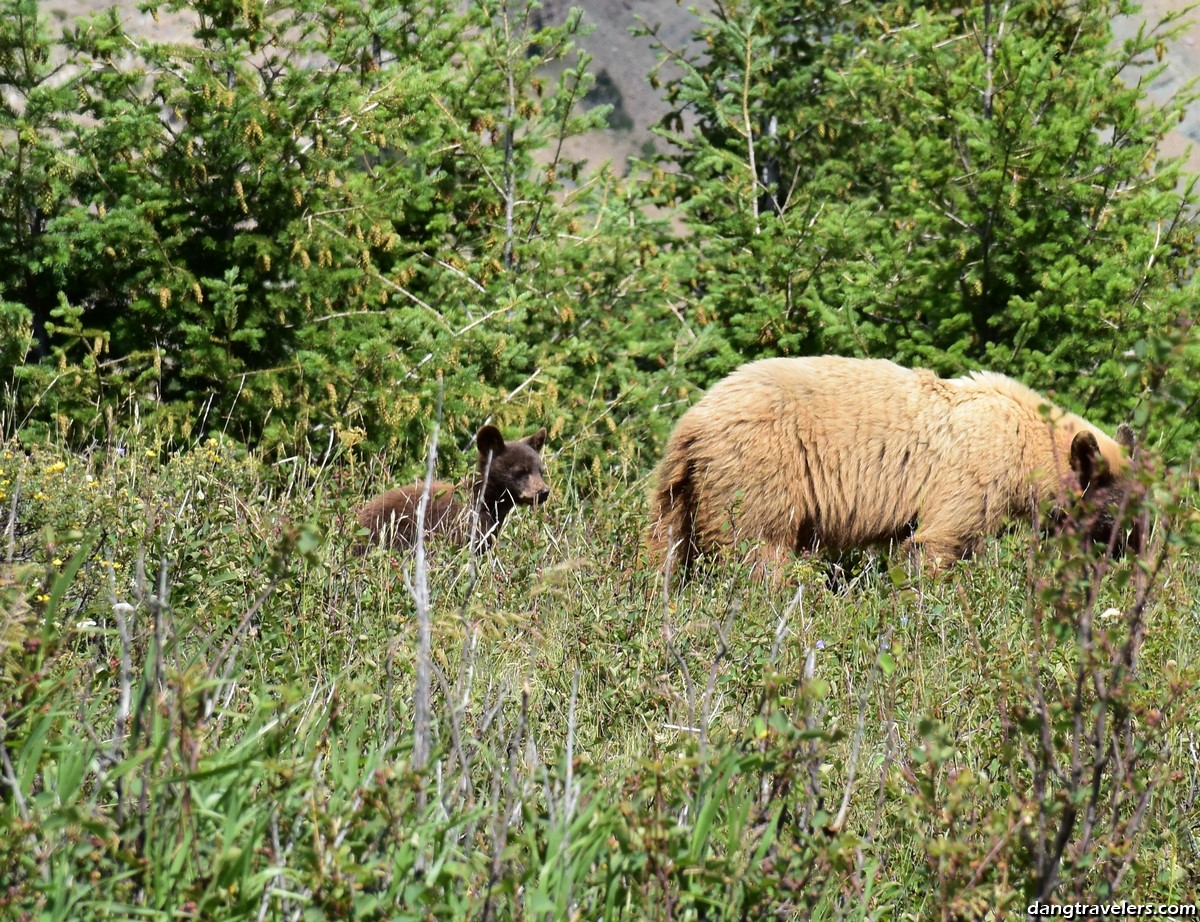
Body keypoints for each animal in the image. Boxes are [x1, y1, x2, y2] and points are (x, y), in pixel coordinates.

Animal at [652, 355, 1137, 581]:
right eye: (1120, 511)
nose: (1135, 549)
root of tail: (691, 422)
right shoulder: (973, 474)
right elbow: (940, 540)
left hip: (685, 489)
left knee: (668, 548)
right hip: (759, 468)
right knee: (757, 548)